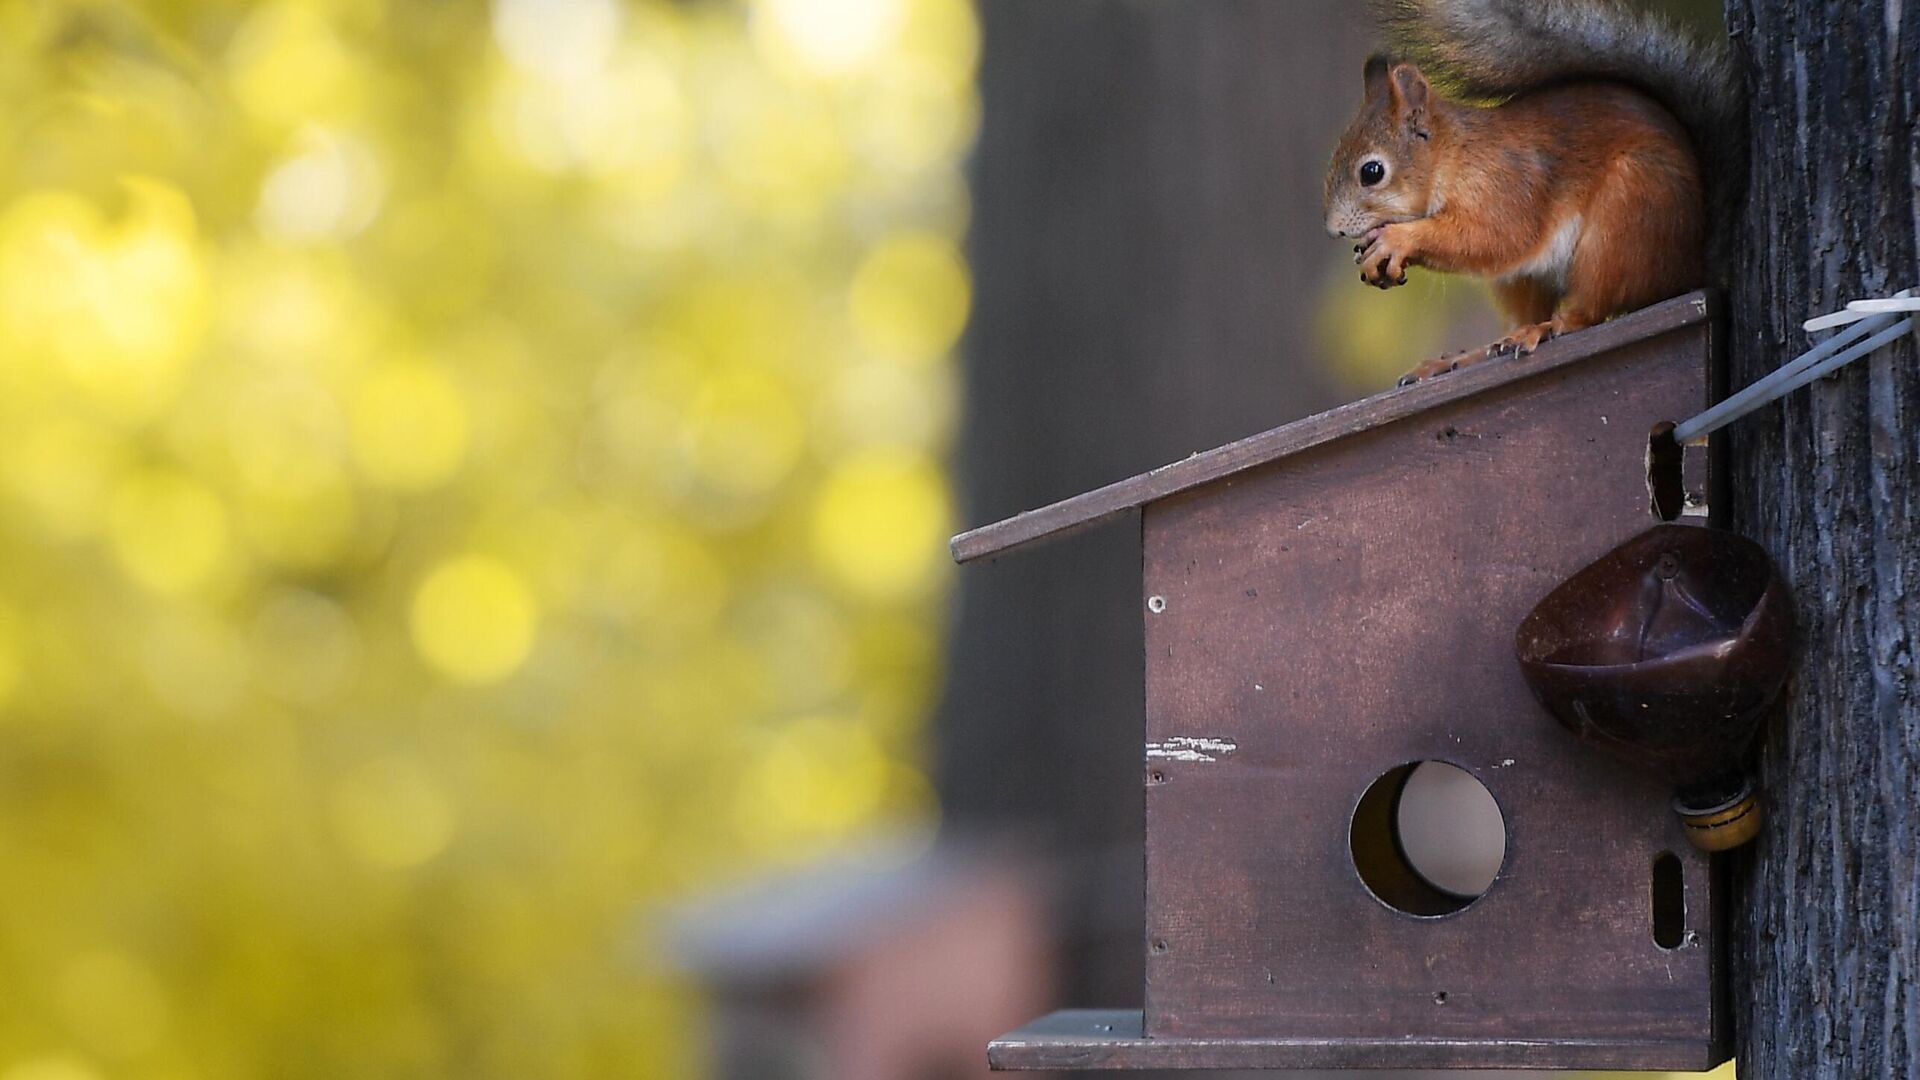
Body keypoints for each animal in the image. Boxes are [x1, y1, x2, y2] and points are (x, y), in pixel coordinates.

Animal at [1328, 0, 1751, 384]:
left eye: (1371, 172)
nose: (1335, 229)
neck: (1453, 158)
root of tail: (1688, 266)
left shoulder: (1505, 187)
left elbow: (1494, 237)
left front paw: (1397, 239)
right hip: (1527, 278)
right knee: (1523, 316)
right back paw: (1467, 357)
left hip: (1623, 221)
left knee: (1589, 311)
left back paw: (1547, 328)